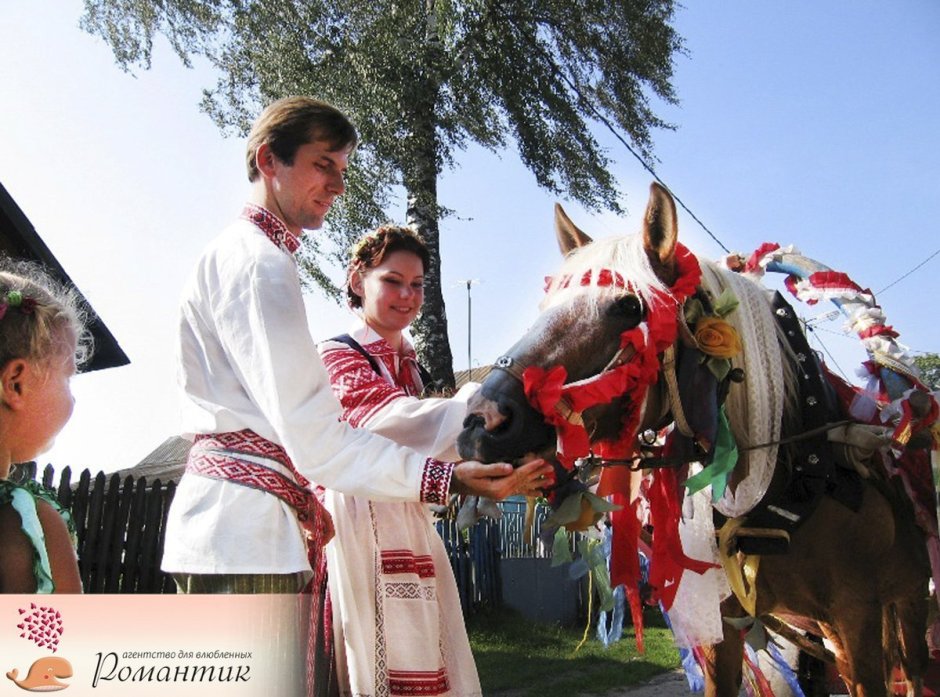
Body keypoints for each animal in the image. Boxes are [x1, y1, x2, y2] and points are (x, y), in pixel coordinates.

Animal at [458, 184, 932, 696]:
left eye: (629, 307)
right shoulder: (725, 621)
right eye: (545, 309)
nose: (481, 423)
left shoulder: (857, 616)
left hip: (908, 604)